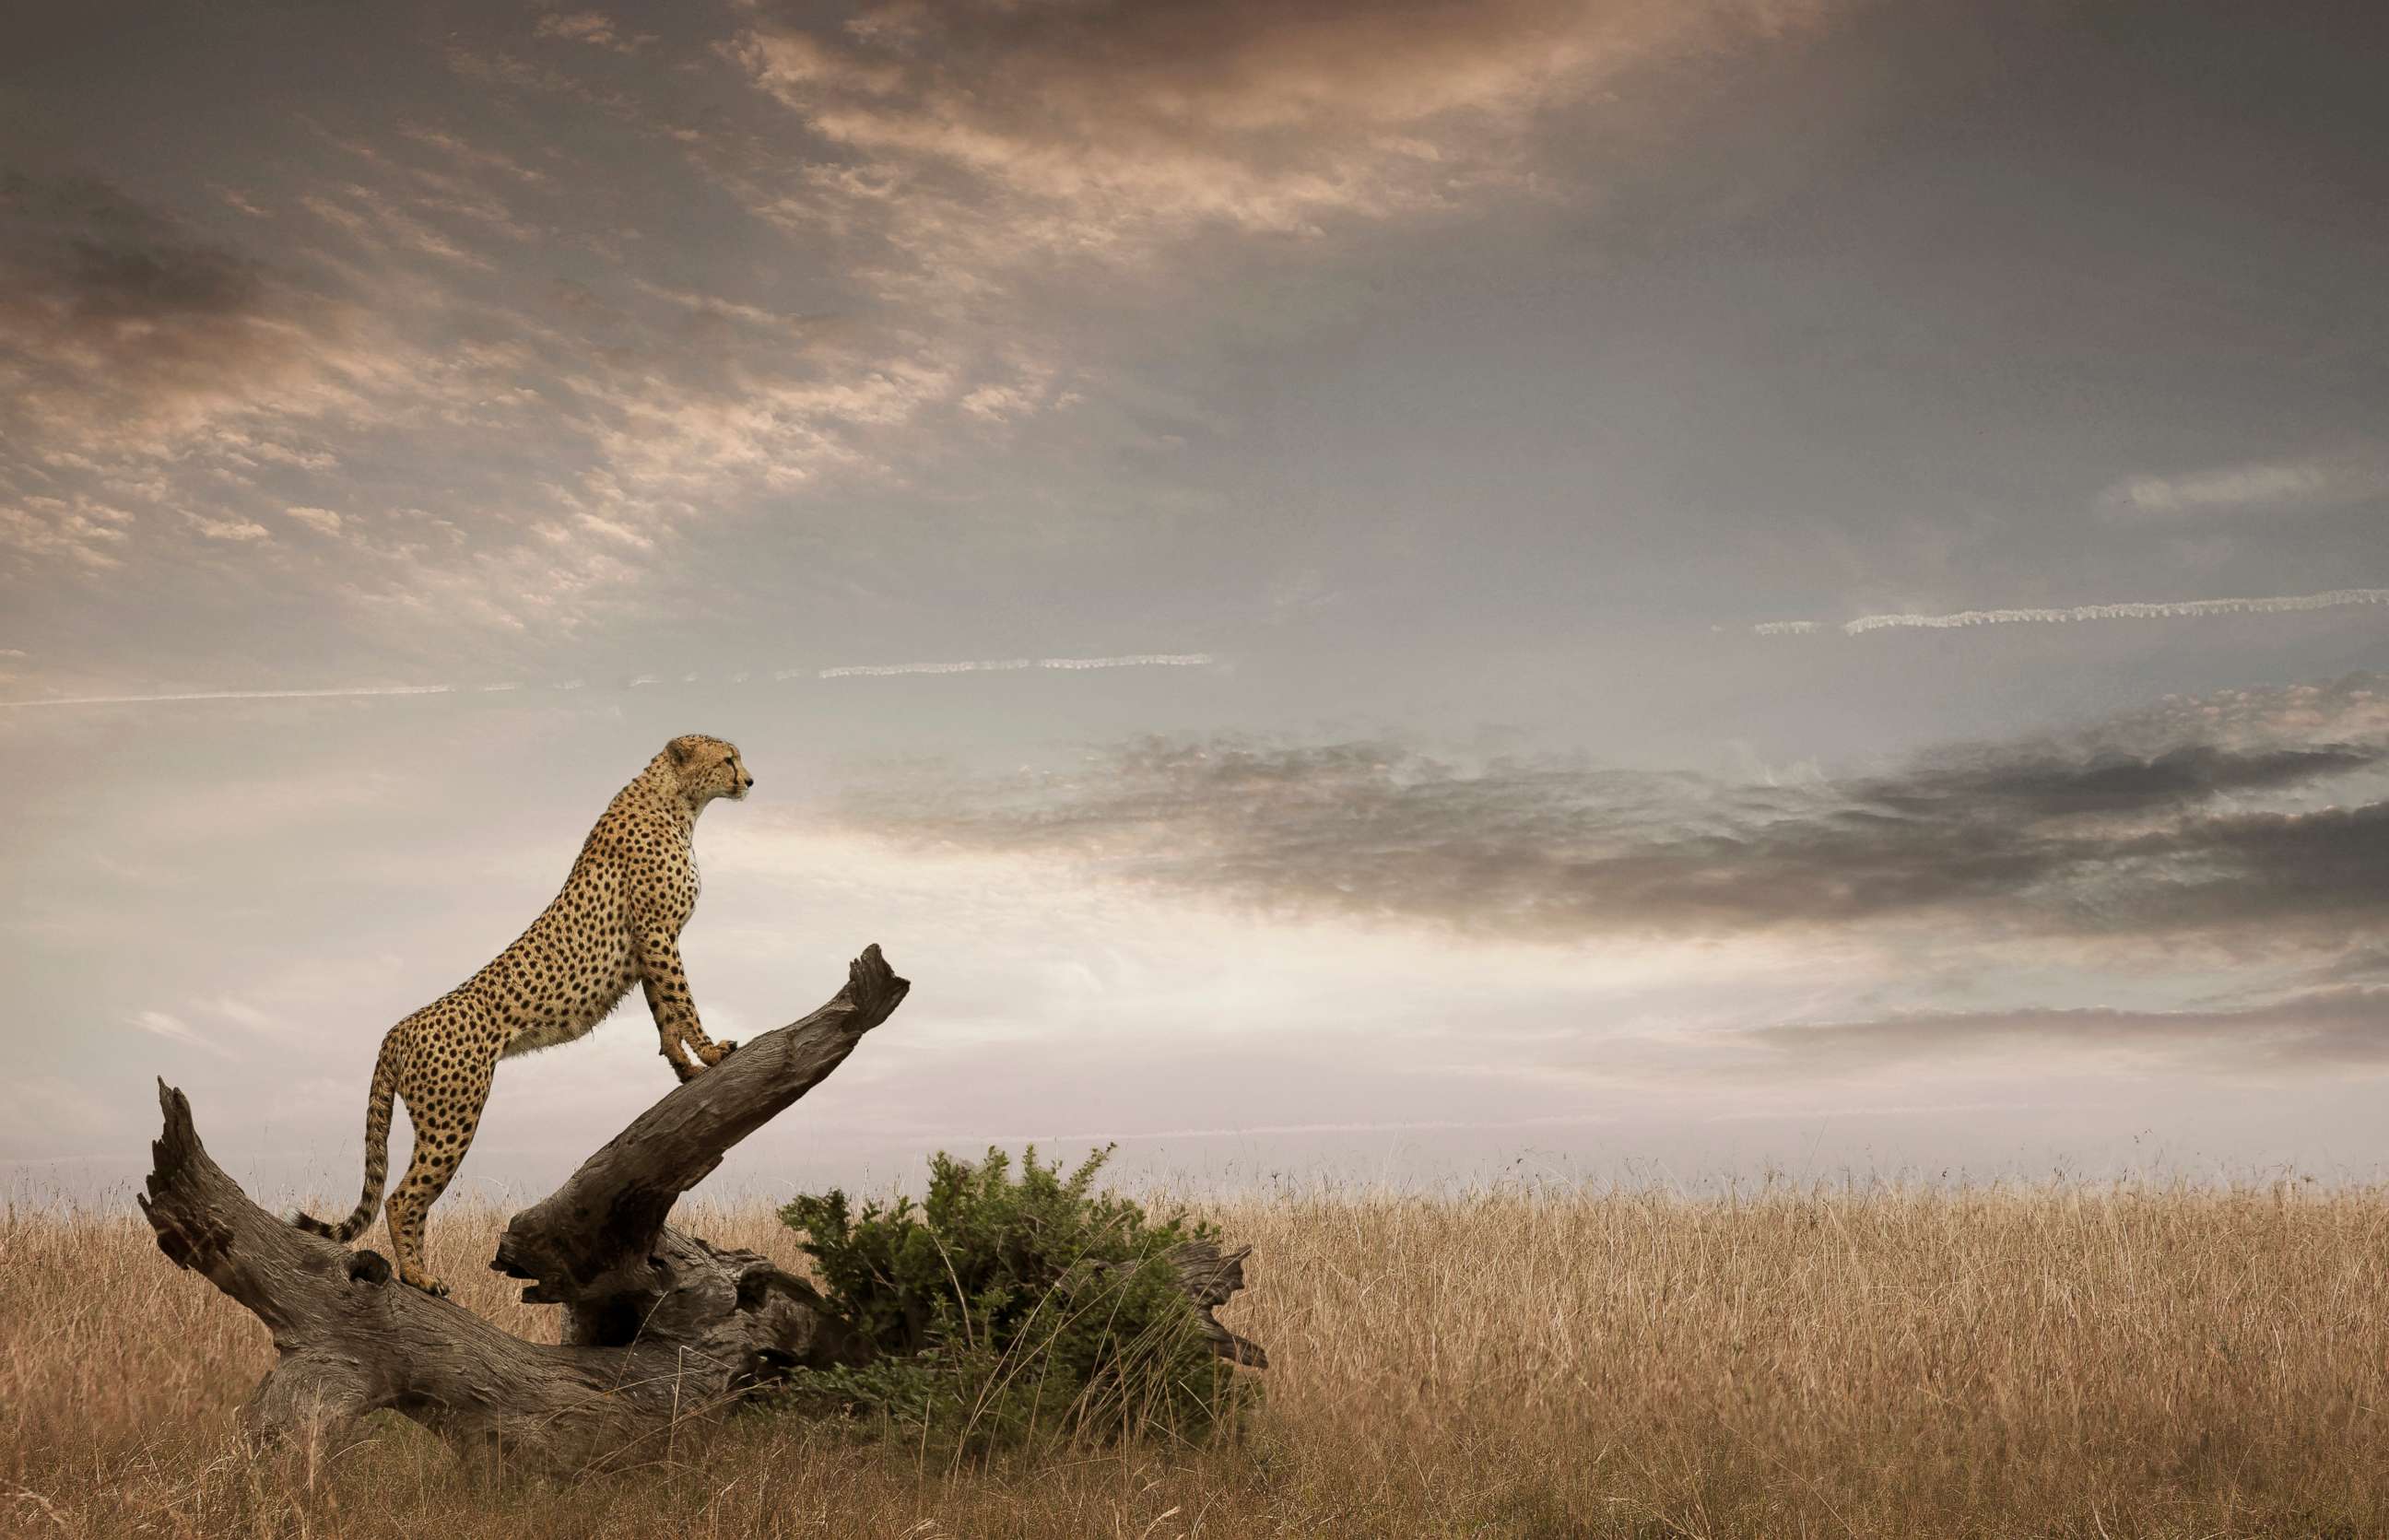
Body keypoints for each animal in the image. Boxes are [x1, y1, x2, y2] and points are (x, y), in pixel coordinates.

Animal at [291, 730, 755, 1299]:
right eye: (728, 759)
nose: (749, 780)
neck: (679, 802)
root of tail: (399, 1027)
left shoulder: (648, 946)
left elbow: (665, 1015)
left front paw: (686, 1069)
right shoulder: (656, 933)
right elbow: (682, 1000)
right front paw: (712, 1052)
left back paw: (417, 1274)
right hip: (455, 1115)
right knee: (403, 1197)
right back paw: (419, 1277)